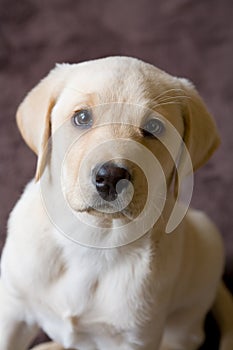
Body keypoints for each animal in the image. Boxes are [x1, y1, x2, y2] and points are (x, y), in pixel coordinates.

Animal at [0, 57, 233, 350]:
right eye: (82, 117)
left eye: (154, 127)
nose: (111, 177)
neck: (91, 239)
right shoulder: (13, 312)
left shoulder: (134, 338)